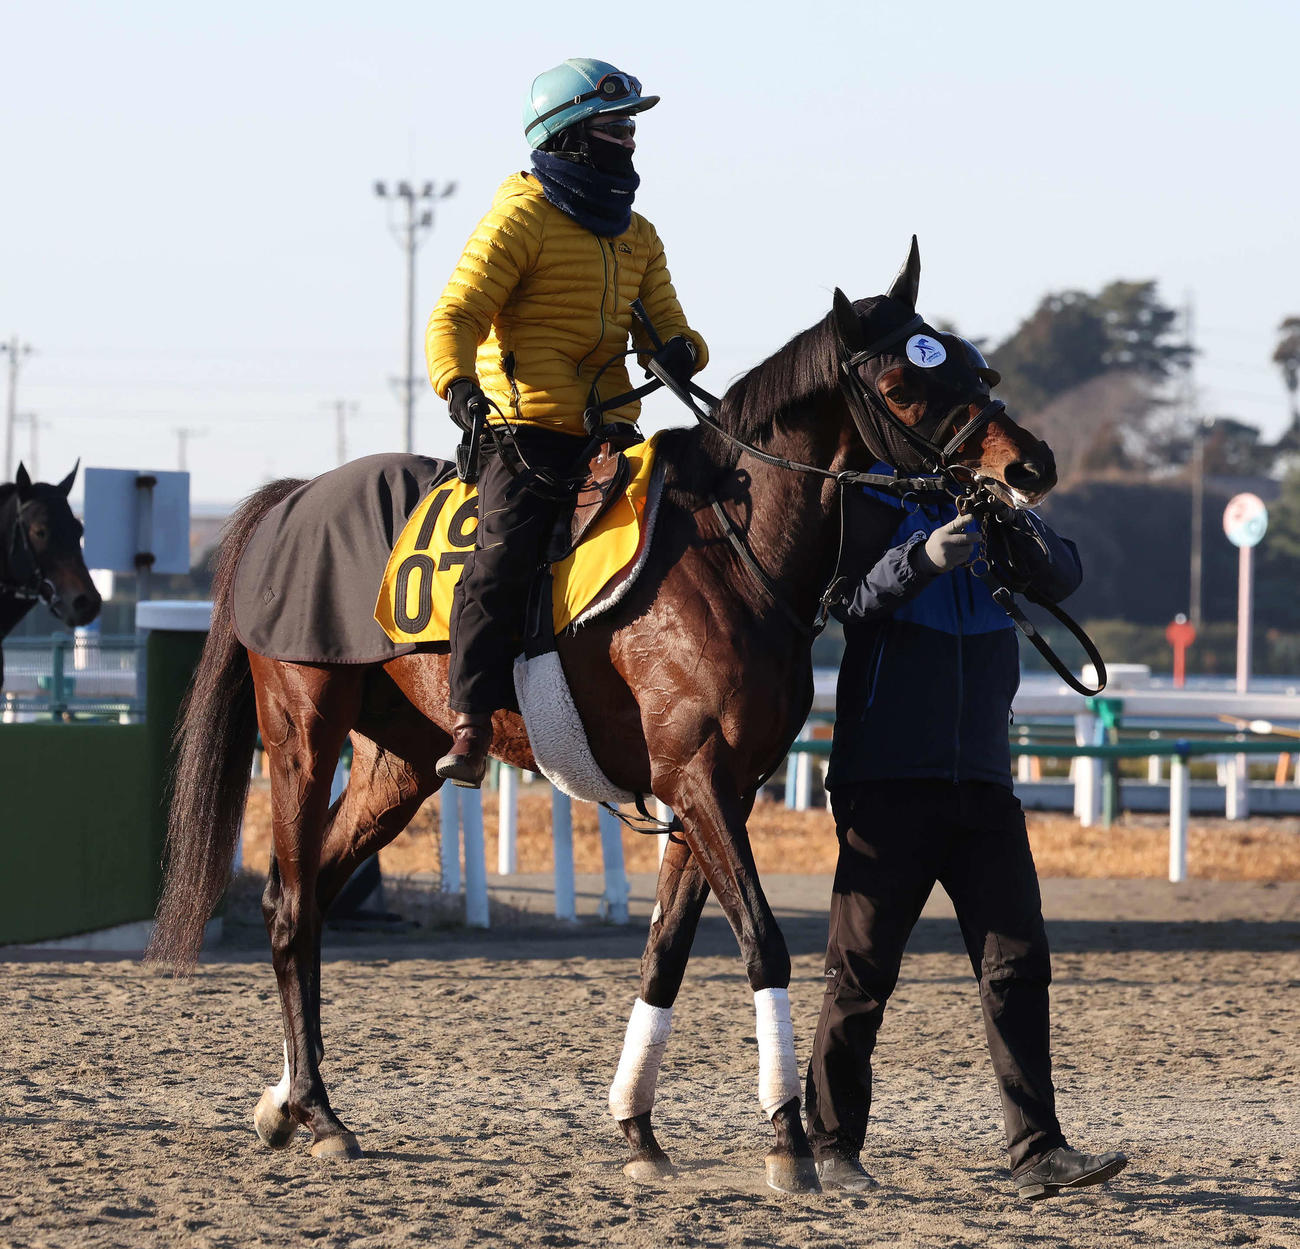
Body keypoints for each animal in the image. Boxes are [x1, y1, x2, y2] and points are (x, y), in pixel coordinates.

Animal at [147, 240, 1059, 1192]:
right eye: (907, 383)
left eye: (979, 367)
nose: (1029, 467)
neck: (730, 549)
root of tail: (288, 497)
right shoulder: (696, 778)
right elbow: (763, 942)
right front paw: (788, 1139)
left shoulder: (715, 788)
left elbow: (665, 953)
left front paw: (639, 1127)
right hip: (302, 729)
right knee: (290, 903)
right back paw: (318, 1111)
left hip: (399, 762)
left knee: (313, 890)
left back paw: (285, 1099)